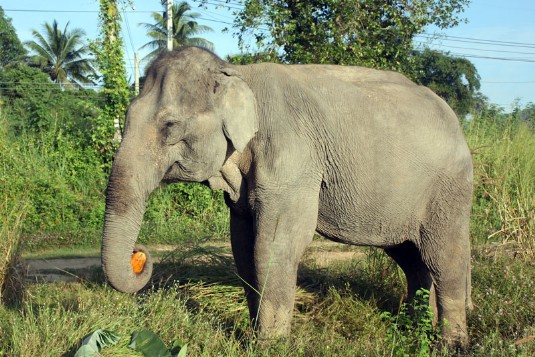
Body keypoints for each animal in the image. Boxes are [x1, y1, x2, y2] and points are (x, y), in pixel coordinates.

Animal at [100, 46, 474, 346]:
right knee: (412, 258)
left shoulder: (292, 159)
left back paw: (450, 344)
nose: (140, 255)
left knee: (444, 256)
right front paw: (254, 337)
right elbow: (243, 246)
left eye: (170, 126)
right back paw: (416, 330)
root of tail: (455, 120)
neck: (237, 72)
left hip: (449, 188)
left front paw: (270, 345)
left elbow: (275, 244)